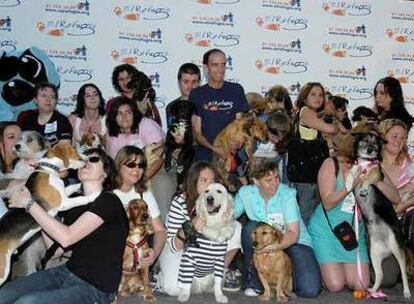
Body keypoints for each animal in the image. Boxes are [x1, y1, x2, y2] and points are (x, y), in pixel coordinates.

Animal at [348, 123, 412, 300]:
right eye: (365, 140)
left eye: (375, 144)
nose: (370, 150)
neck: (365, 162)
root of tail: (386, 247)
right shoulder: (356, 167)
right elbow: (351, 172)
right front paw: (349, 182)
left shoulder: (377, 173)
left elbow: (369, 176)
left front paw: (363, 187)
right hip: (374, 254)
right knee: (381, 275)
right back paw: (371, 291)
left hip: (398, 250)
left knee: (403, 274)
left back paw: (406, 292)